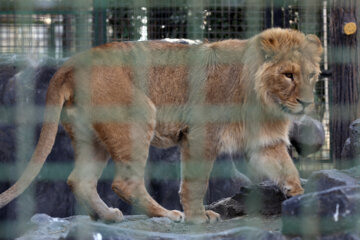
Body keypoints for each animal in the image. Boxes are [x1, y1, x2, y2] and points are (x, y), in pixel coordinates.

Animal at [0, 28, 322, 225]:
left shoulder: (265, 143)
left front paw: (302, 198)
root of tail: (70, 64)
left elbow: (287, 169)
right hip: (139, 116)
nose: (307, 102)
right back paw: (167, 215)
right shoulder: (202, 133)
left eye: (312, 75)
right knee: (124, 182)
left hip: (92, 138)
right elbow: (195, 182)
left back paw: (108, 217)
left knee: (79, 180)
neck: (264, 99)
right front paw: (198, 217)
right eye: (288, 75)